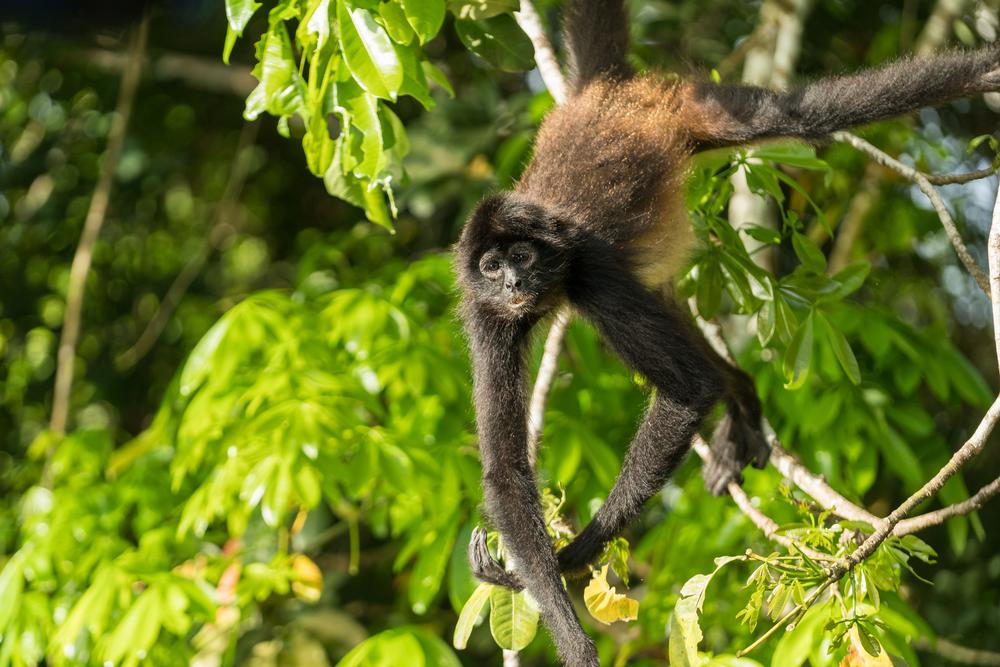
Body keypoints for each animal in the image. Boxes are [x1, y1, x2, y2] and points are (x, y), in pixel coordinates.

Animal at [458, 2, 996, 664]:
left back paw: (985, 70)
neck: (551, 282)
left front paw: (575, 560)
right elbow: (507, 472)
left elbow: (688, 389)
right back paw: (742, 401)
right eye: (491, 266)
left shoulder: (592, 271)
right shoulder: (487, 317)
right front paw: (558, 600)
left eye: (523, 256)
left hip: (700, 110)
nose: (512, 281)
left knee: (805, 113)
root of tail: (602, 95)